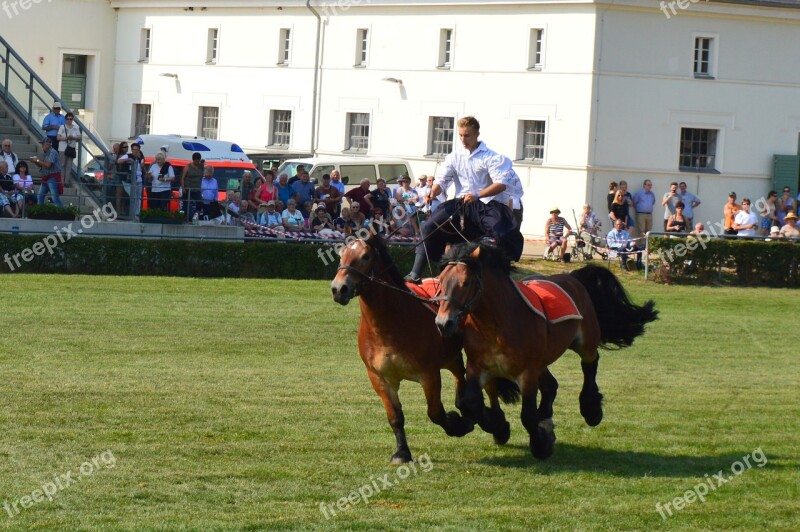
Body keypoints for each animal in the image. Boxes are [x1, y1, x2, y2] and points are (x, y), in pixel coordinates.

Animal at [330, 233, 520, 462]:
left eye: (365, 256)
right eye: (341, 254)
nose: (339, 289)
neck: (388, 325)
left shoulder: (428, 374)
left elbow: (435, 412)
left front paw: (459, 425)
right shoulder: (380, 378)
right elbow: (395, 417)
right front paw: (402, 452)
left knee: (489, 387)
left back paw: (497, 425)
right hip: (451, 355)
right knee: (460, 377)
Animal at [434, 243, 660, 460]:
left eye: (466, 283)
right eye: (440, 281)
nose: (443, 323)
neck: (496, 325)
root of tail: (572, 277)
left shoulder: (527, 373)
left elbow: (527, 416)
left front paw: (541, 444)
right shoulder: (477, 366)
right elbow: (470, 401)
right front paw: (499, 427)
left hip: (584, 342)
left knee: (590, 363)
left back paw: (591, 410)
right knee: (552, 385)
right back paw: (545, 416)